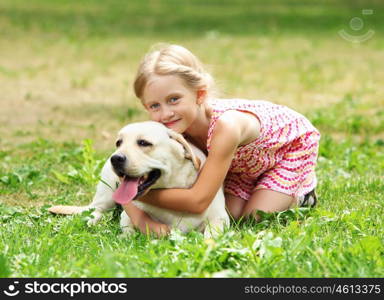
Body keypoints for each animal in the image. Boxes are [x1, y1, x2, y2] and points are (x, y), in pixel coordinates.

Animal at [48, 120, 228, 238]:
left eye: (143, 143)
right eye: (118, 142)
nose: (115, 158)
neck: (175, 192)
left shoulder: (220, 219)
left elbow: (210, 236)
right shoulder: (127, 216)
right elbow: (128, 230)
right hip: (106, 195)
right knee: (94, 210)